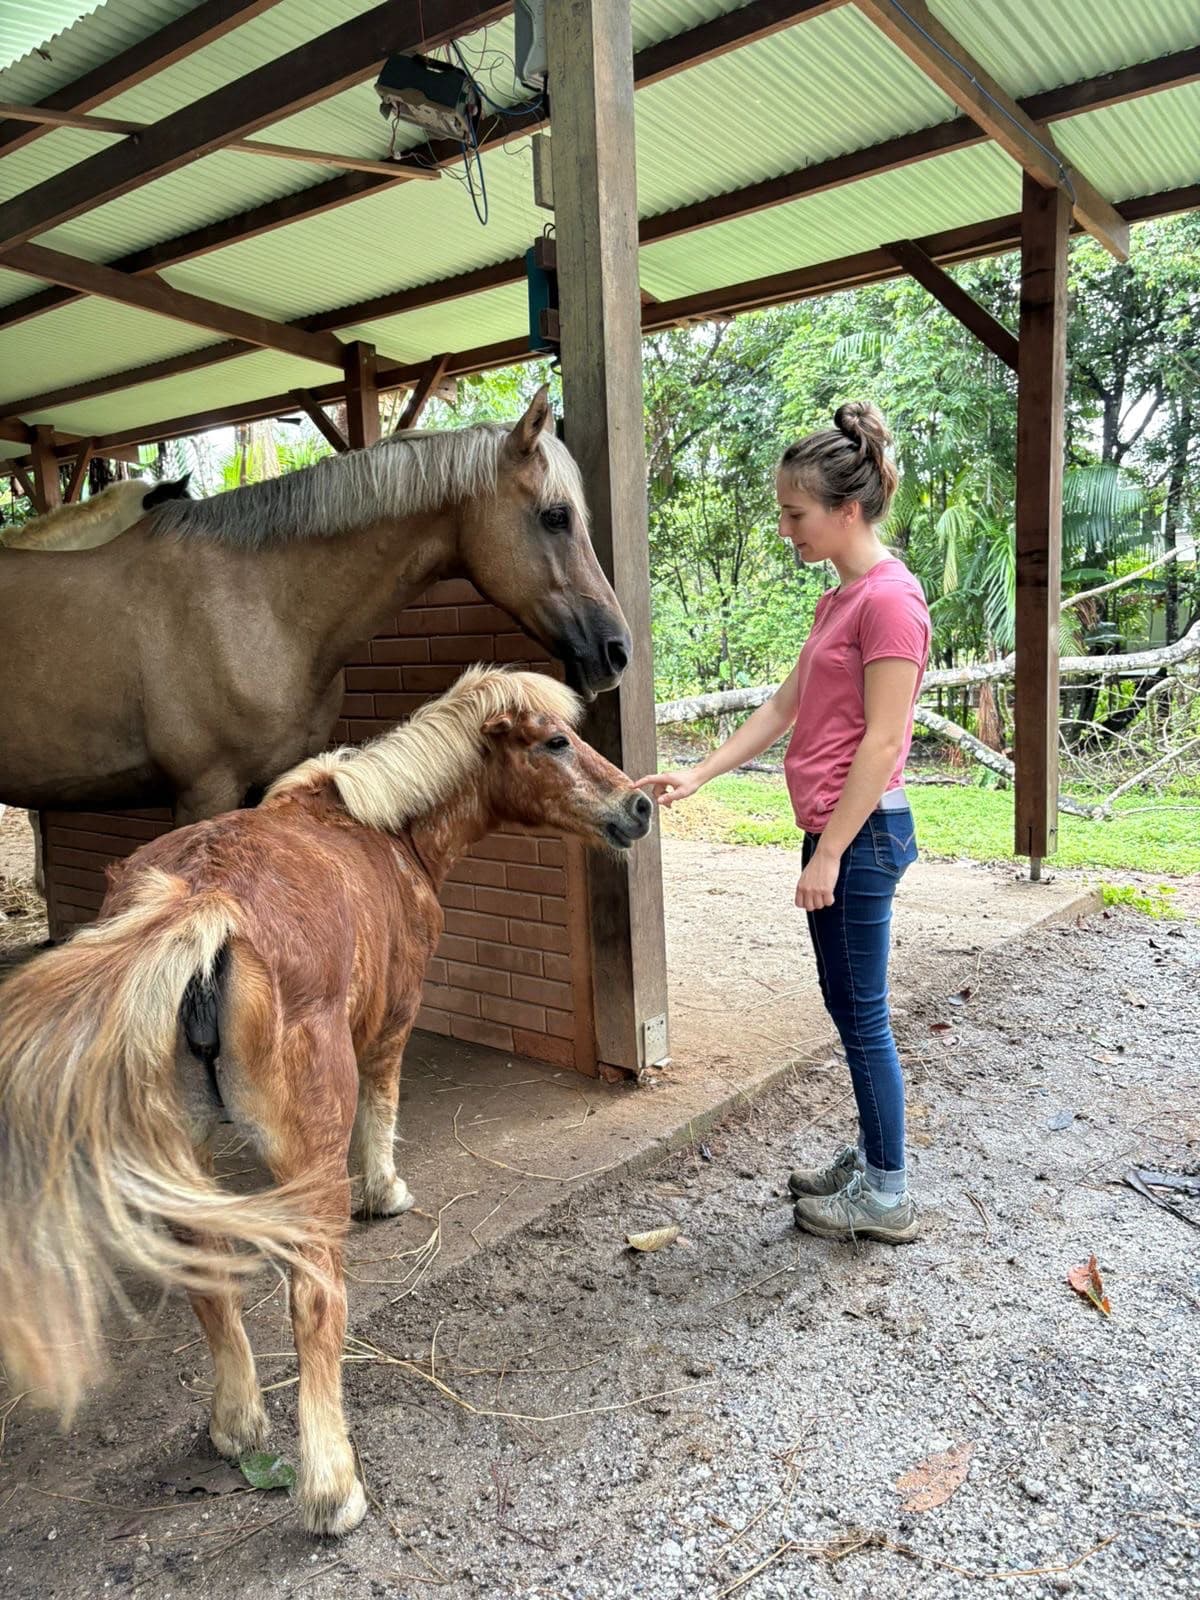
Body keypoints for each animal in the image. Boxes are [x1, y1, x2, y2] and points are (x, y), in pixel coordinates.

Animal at [0, 666, 653, 1536]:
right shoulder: (393, 1023)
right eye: (555, 739)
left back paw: (238, 1421)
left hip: (185, 1156)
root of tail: (203, 909)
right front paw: (387, 1191)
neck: (380, 829)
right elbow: (384, 1105)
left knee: (209, 1276)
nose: (638, 806)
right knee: (314, 1300)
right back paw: (331, 1485)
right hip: (305, 1162)